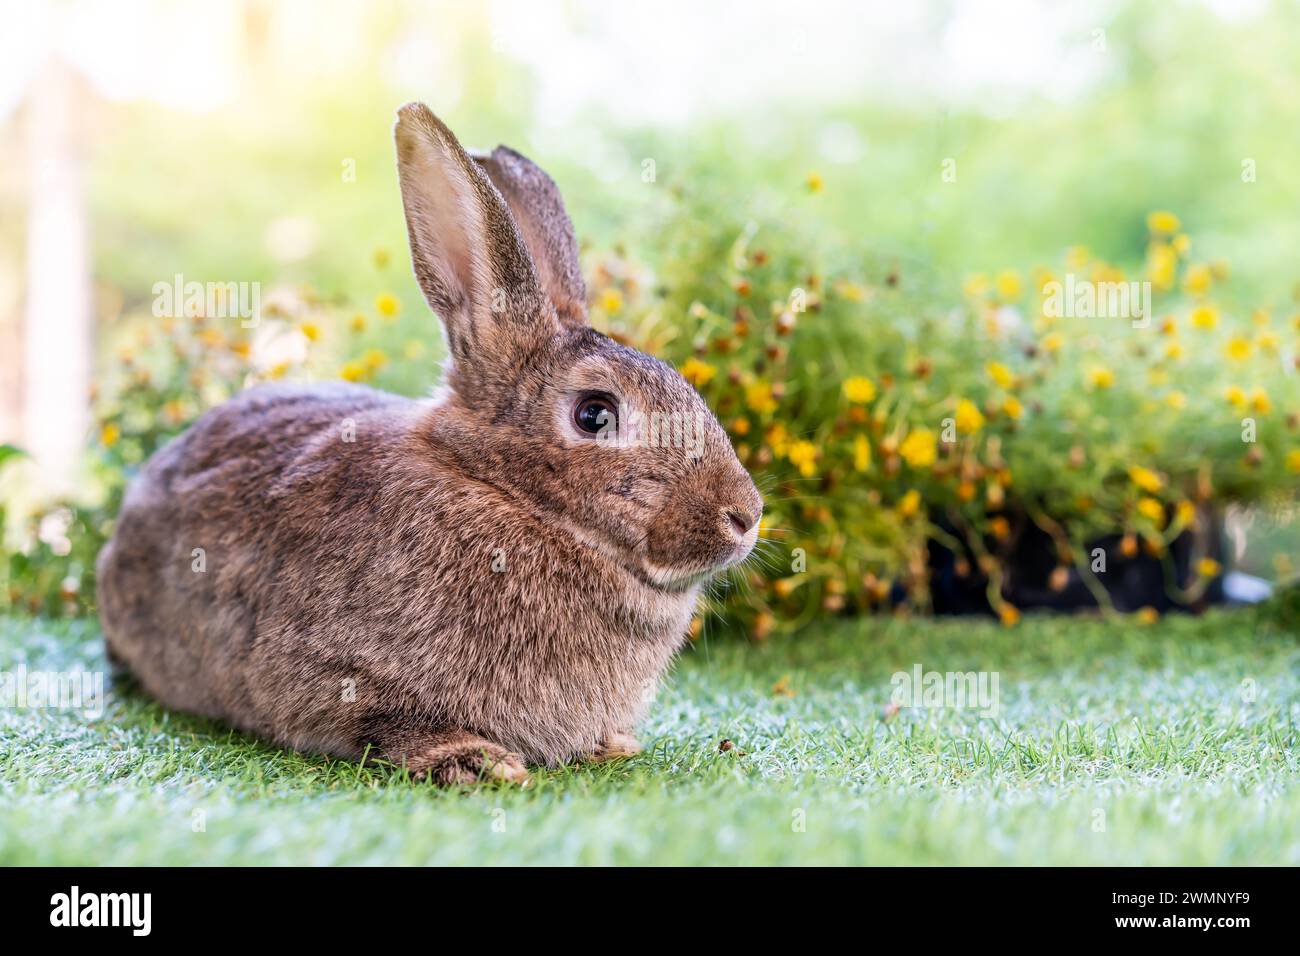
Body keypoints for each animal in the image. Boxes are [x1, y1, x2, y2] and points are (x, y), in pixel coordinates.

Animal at [96, 103, 763, 785]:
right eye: (595, 415)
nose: (745, 516)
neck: (503, 490)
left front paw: (610, 745)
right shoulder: (329, 675)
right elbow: (383, 723)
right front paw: (478, 762)